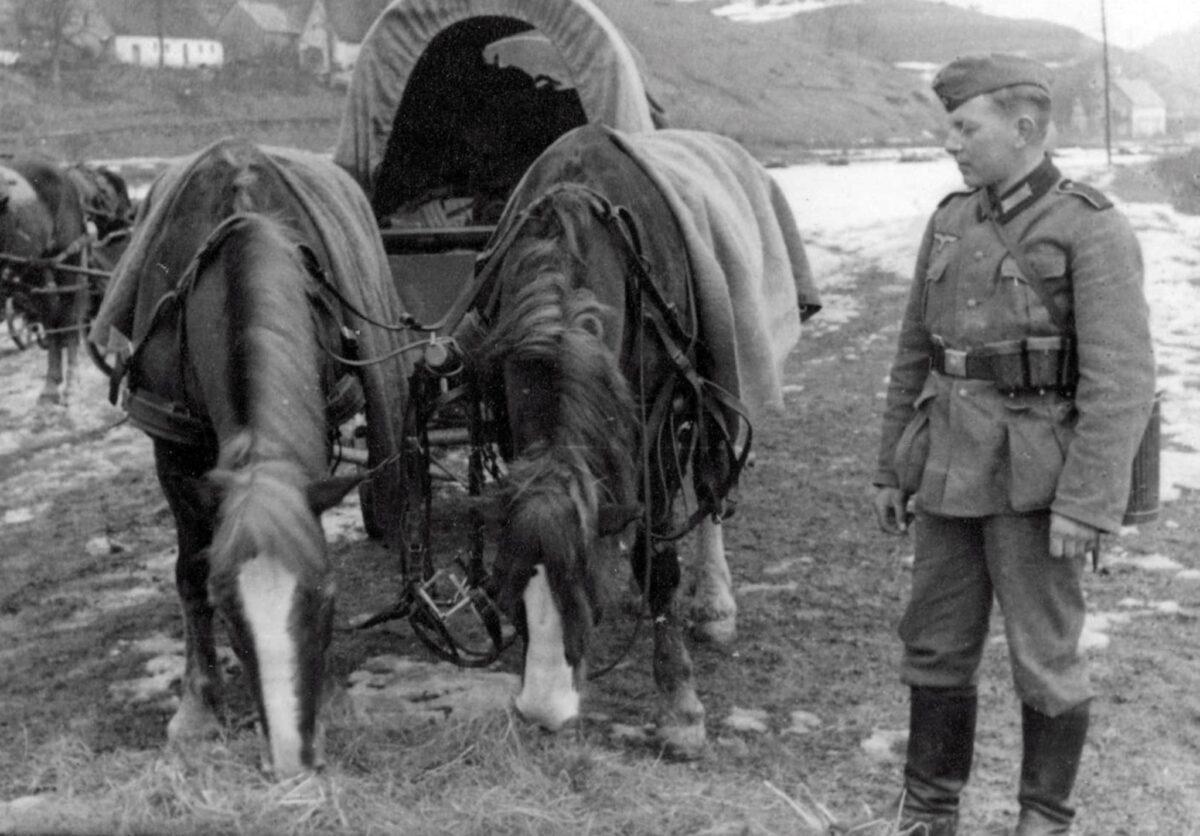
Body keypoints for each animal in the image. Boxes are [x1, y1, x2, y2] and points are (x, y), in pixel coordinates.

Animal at [88, 138, 412, 782]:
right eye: (230, 614)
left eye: (328, 598)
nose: (292, 759)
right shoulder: (174, 453)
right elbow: (188, 572)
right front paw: (197, 709)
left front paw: (330, 695)